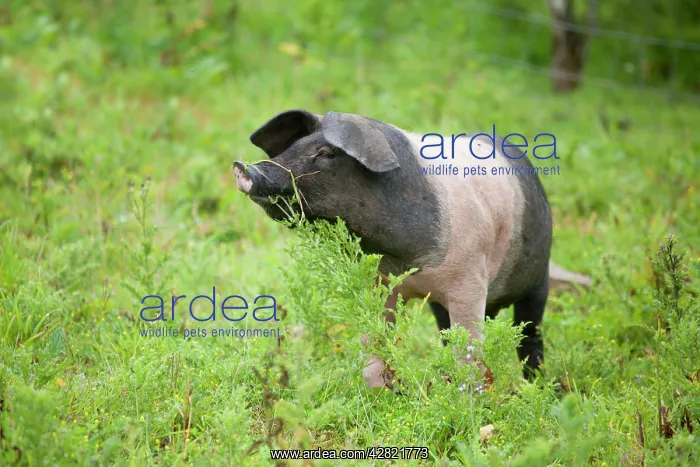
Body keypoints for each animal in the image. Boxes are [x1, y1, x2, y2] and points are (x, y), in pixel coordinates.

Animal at [234, 109, 573, 388]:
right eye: (291, 148)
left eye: (327, 153)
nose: (244, 168)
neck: (406, 264)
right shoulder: (378, 283)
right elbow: (374, 344)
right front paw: (387, 390)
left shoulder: (470, 281)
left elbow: (469, 350)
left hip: (539, 276)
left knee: (530, 334)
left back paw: (536, 384)